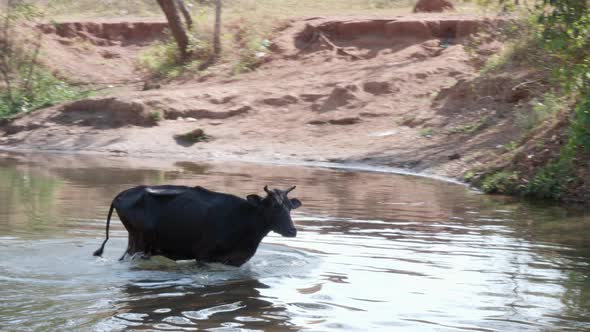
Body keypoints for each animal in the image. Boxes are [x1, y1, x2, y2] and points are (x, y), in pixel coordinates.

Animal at [95, 184, 306, 268]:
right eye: (273, 206)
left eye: (289, 207)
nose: (292, 230)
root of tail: (120, 195)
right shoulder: (203, 255)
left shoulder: (235, 260)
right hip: (138, 242)